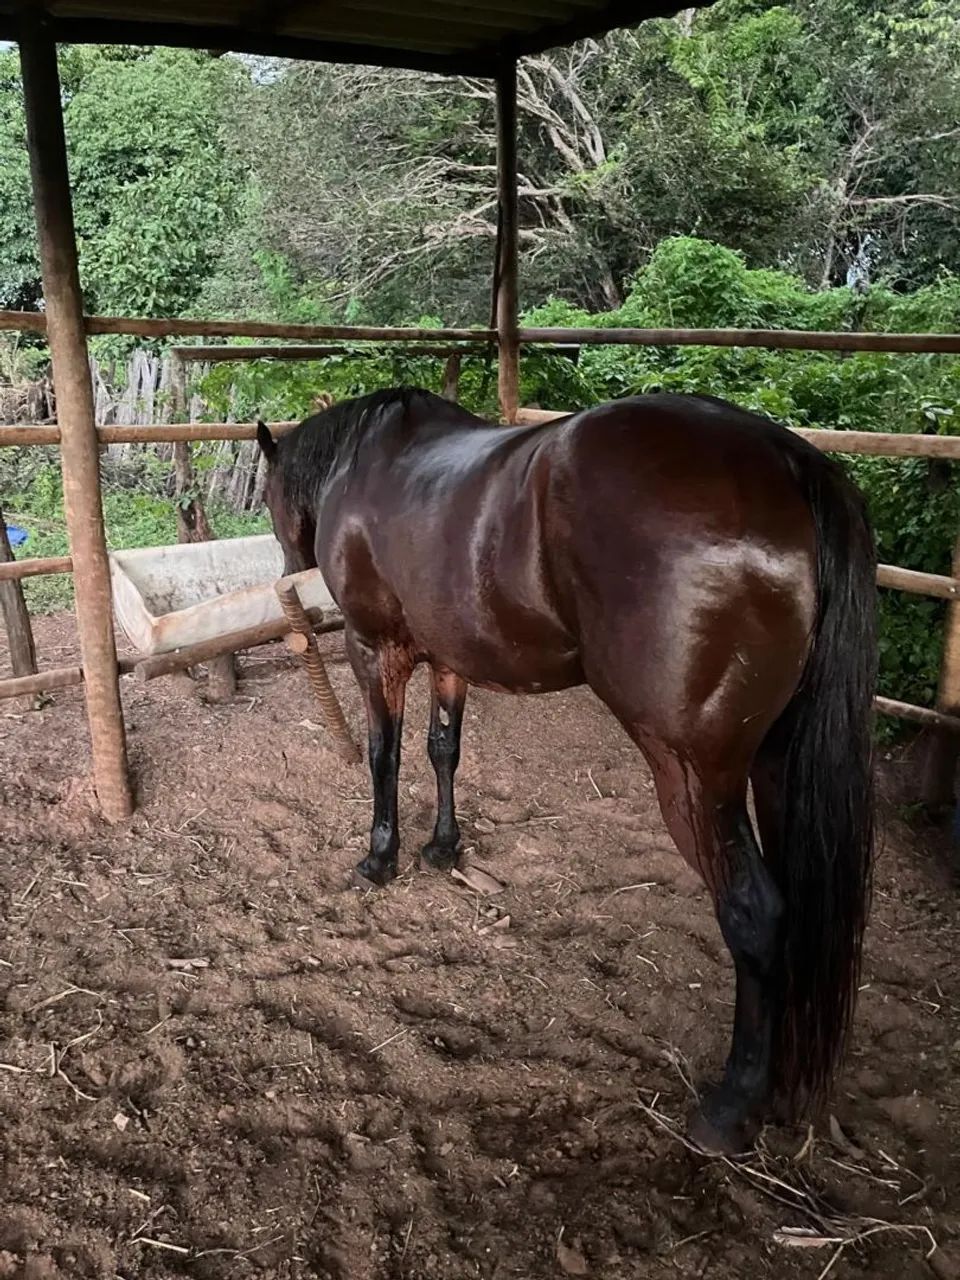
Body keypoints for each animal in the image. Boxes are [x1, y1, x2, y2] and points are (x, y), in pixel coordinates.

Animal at [256, 387, 876, 1155]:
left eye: (268, 499)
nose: (289, 575)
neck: (369, 462)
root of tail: (786, 459)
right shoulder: (450, 656)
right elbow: (443, 748)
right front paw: (442, 848)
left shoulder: (377, 649)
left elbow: (385, 753)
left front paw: (379, 858)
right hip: (775, 767)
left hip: (697, 778)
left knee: (756, 913)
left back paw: (730, 1106)